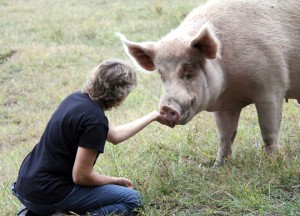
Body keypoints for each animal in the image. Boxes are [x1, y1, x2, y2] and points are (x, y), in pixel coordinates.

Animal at [118, 0, 300, 165]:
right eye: (161, 75)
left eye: (188, 69)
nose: (167, 107)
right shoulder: (225, 105)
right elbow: (225, 136)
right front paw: (218, 166)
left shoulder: (272, 87)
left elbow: (268, 131)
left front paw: (272, 163)